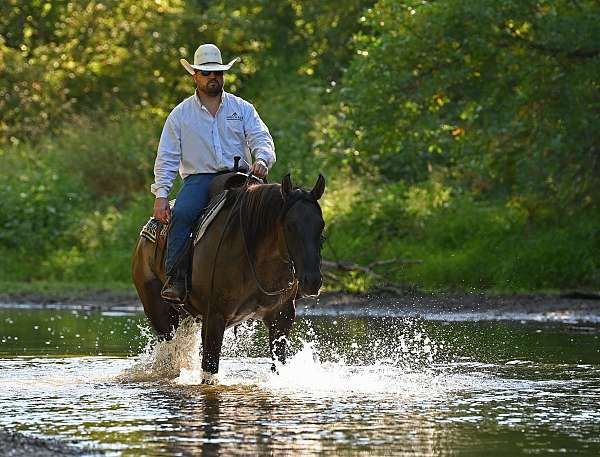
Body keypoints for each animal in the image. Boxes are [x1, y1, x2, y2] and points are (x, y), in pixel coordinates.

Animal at [131, 173, 326, 382]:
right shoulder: (214, 316)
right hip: (159, 314)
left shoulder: (281, 317)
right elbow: (209, 369)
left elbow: (278, 364)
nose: (312, 280)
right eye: (290, 226)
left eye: (321, 225)